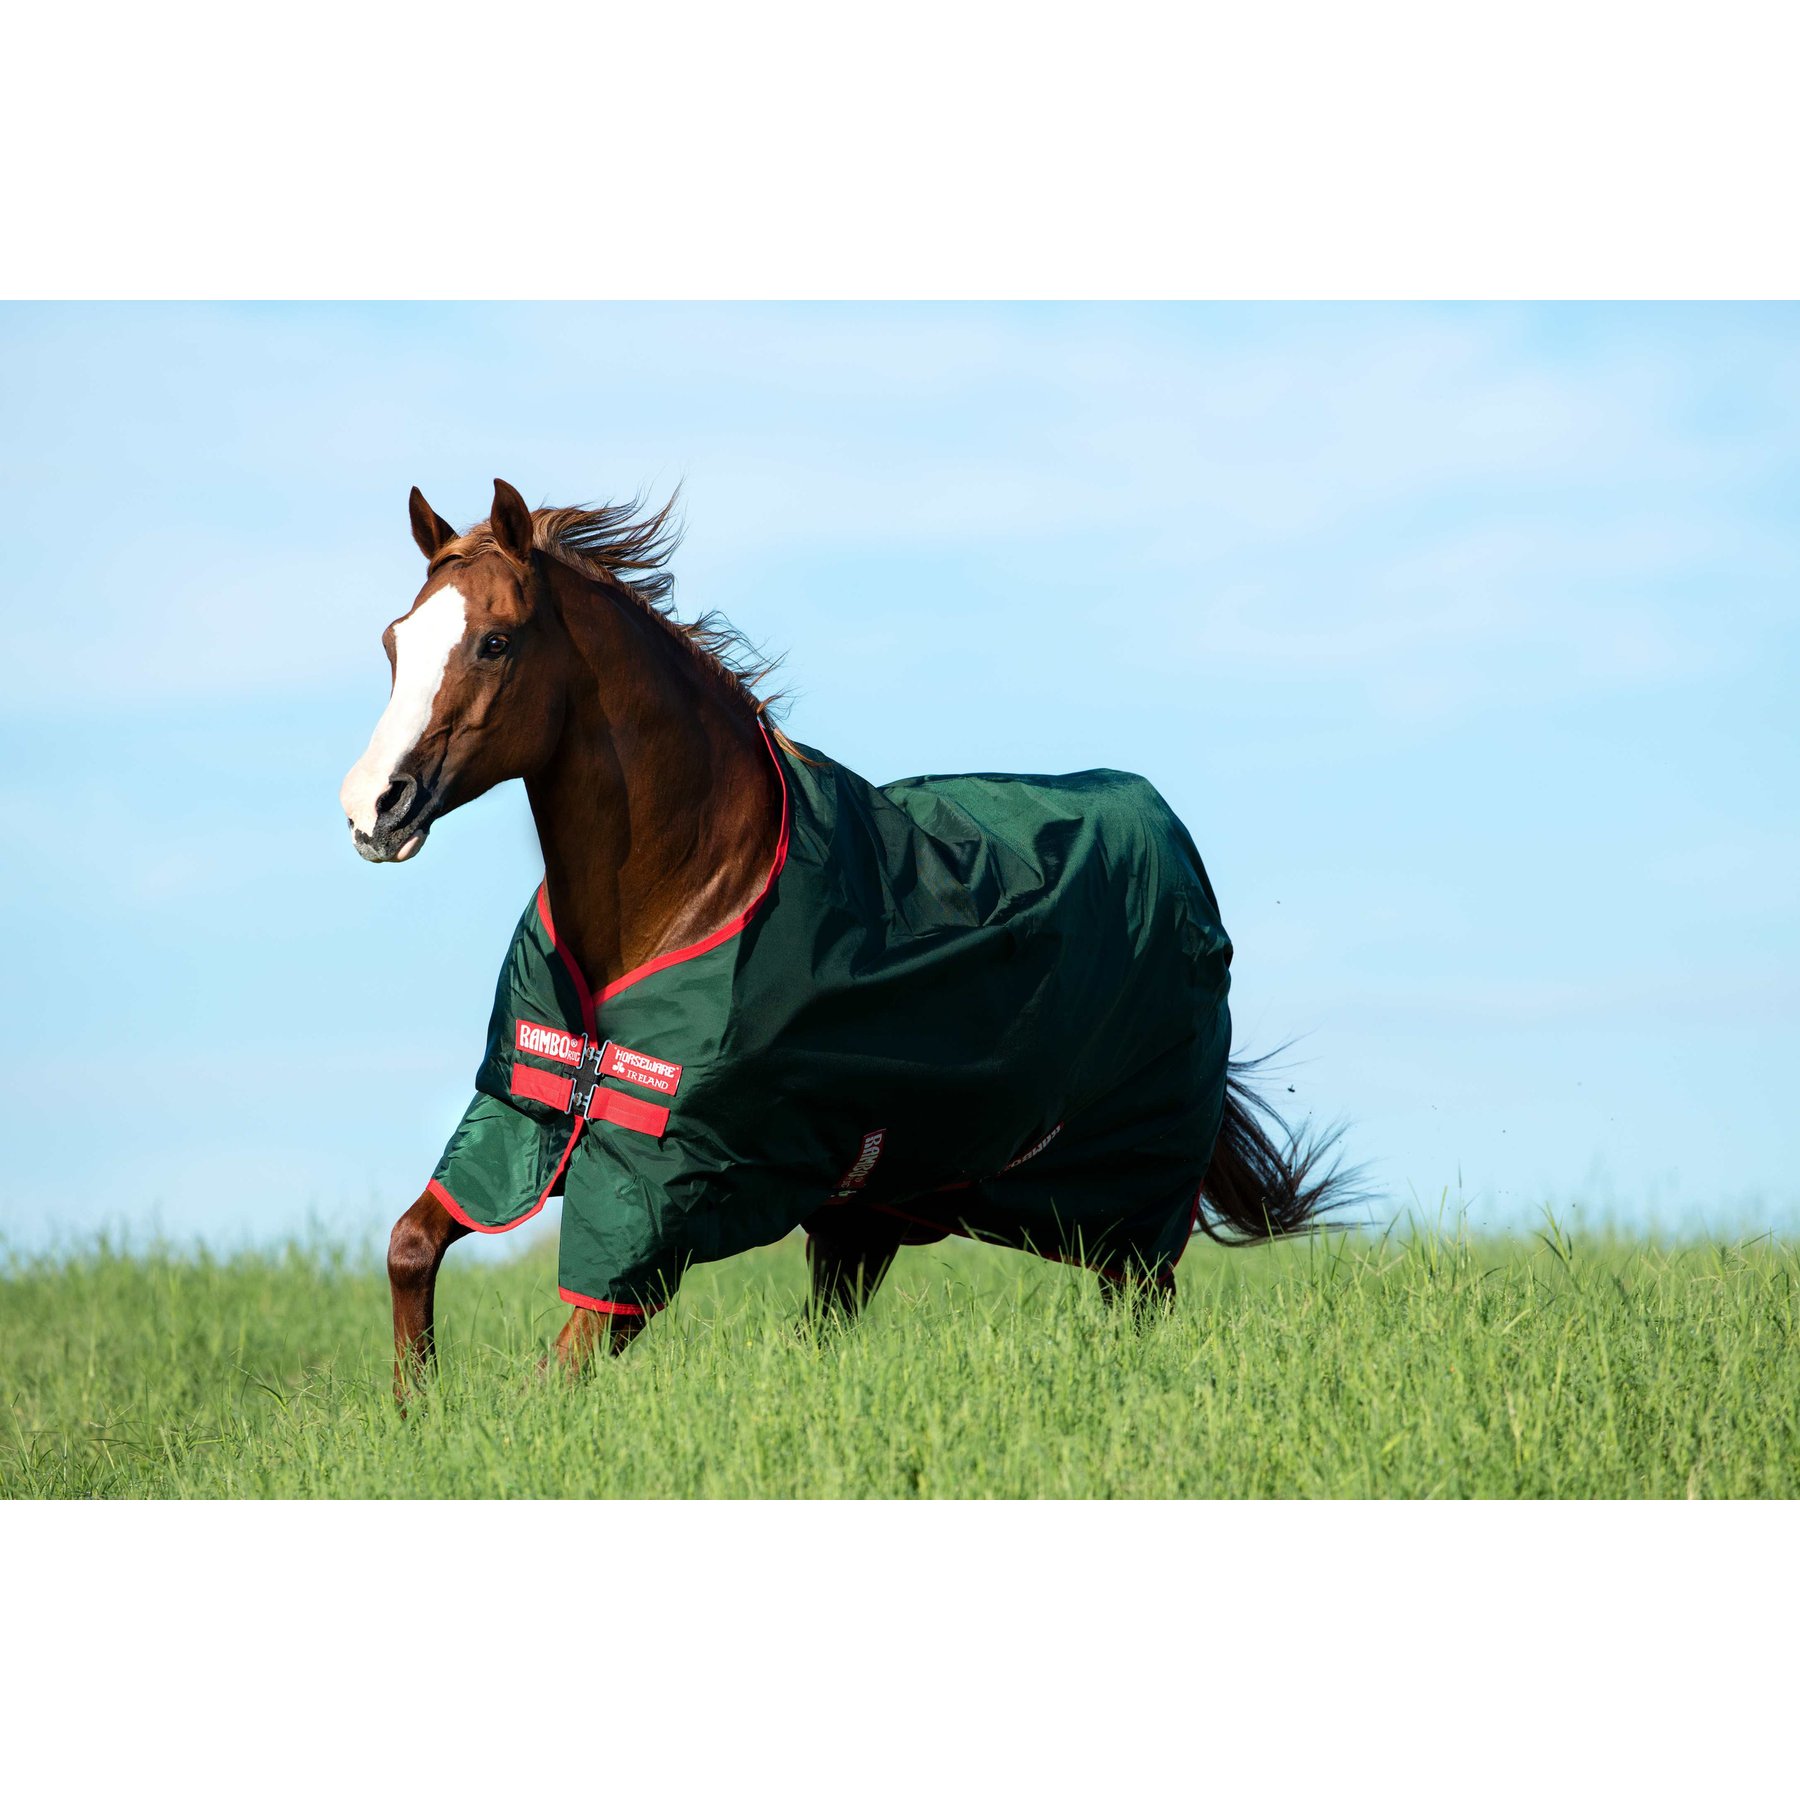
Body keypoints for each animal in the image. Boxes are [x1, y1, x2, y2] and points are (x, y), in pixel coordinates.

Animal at [342, 479, 1347, 1391]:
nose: (372, 808)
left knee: (1142, 1302)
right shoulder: (522, 1108)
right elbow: (410, 1245)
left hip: (1126, 1200)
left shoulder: (671, 1180)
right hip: (873, 1212)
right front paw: (414, 1415)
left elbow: (566, 1363)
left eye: (495, 641)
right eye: (395, 640)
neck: (695, 883)